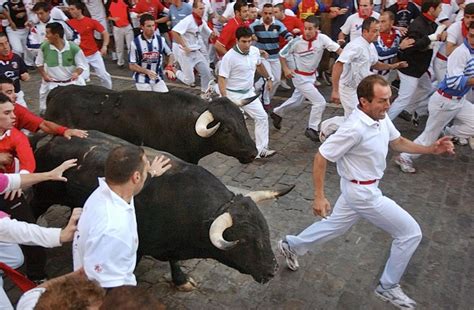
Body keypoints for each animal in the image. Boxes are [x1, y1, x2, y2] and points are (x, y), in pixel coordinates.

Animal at [31, 130, 292, 288]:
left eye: (266, 232)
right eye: (245, 241)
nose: (272, 270)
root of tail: (54, 139)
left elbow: (174, 261)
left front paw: (181, 280)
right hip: (42, 196)